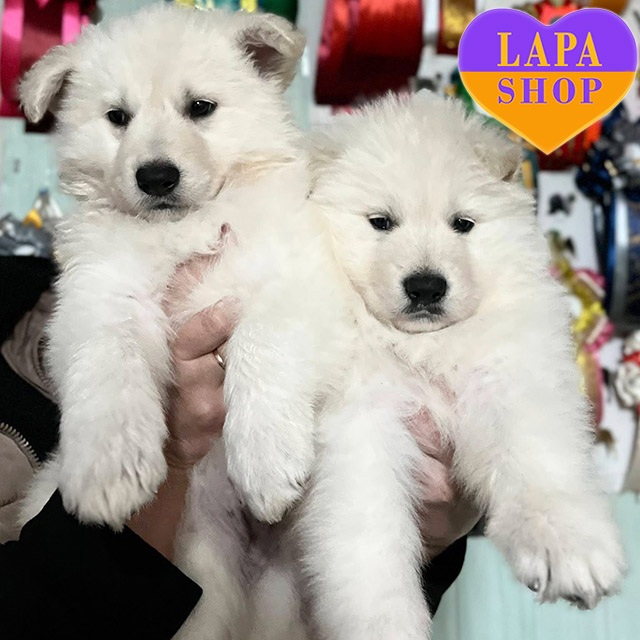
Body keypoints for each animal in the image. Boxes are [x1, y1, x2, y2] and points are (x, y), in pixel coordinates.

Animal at [297, 91, 626, 639]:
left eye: (463, 224)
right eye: (381, 222)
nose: (426, 287)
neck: (425, 347)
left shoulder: (511, 376)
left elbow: (535, 457)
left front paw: (566, 545)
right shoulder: (360, 428)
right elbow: (369, 537)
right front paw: (384, 624)